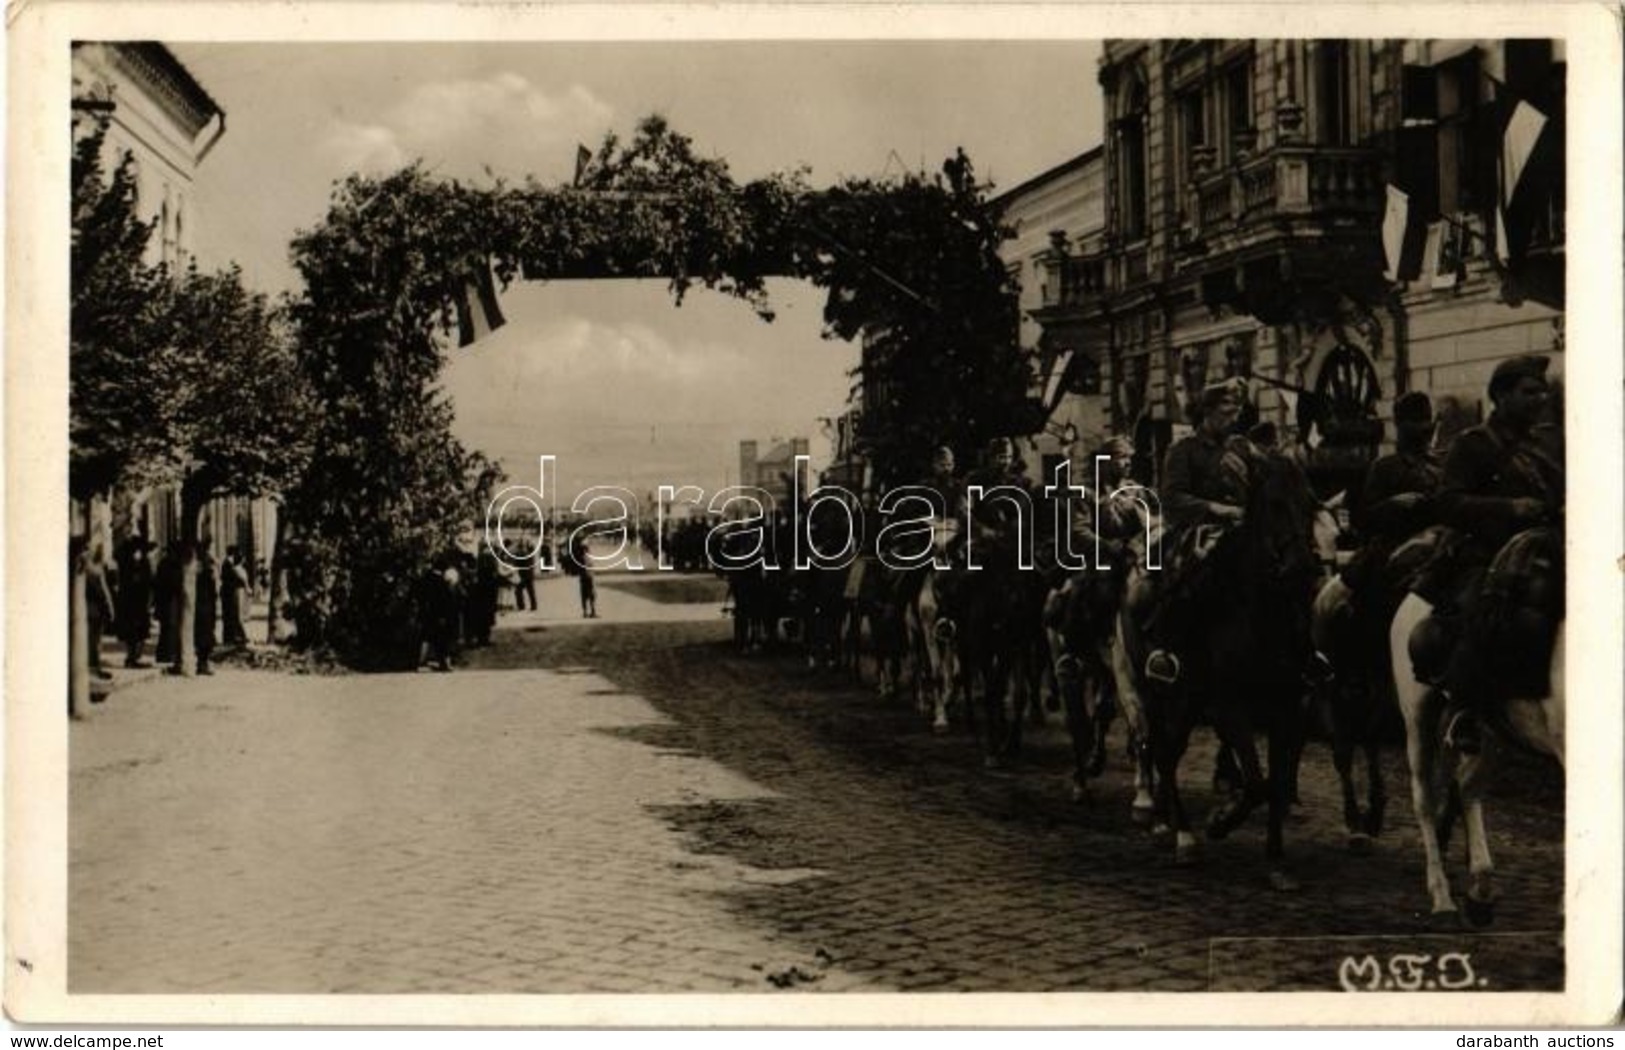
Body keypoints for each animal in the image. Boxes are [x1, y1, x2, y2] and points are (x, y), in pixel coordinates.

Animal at [1111, 455, 1326, 890]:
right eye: (1274, 504)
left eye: (1311, 504)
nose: (1301, 568)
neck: (1261, 618)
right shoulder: (1229, 708)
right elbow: (1257, 784)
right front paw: (1220, 821)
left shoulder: (1287, 709)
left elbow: (1276, 784)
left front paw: (1276, 861)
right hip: (1156, 691)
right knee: (1161, 750)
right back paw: (1182, 836)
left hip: (1187, 700)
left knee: (1168, 753)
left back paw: (1168, 821)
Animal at [1391, 529, 1566, 923]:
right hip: (1417, 717)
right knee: (1425, 799)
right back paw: (1442, 896)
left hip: (1492, 731)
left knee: (1468, 788)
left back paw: (1480, 891)